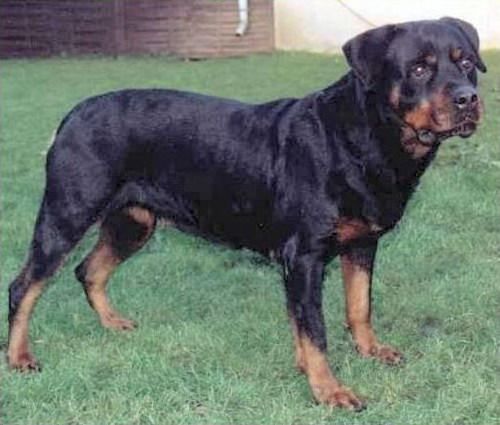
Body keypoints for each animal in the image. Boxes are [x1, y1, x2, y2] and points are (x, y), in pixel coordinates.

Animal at [7, 17, 485, 410]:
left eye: (466, 63)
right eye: (419, 69)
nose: (469, 99)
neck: (363, 138)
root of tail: (72, 115)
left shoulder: (362, 244)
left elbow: (357, 307)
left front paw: (368, 351)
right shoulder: (304, 256)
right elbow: (316, 329)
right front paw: (329, 391)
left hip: (133, 221)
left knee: (89, 270)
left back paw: (112, 323)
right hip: (67, 213)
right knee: (24, 286)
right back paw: (19, 357)